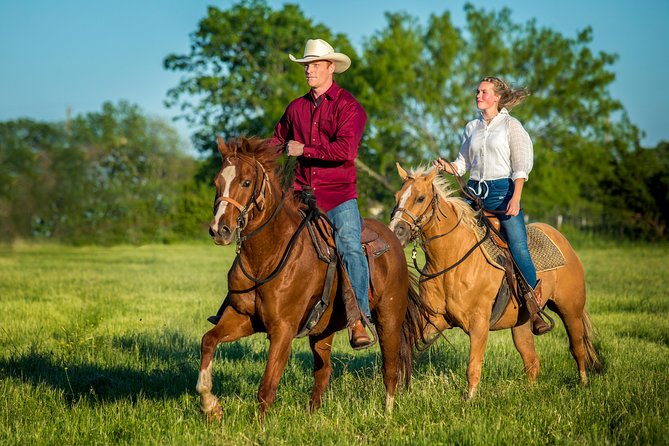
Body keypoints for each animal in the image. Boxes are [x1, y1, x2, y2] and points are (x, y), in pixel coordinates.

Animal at [197, 137, 422, 418]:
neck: (266, 258)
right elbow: (208, 341)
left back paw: (387, 415)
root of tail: (393, 238)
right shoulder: (241, 318)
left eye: (246, 182)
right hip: (323, 330)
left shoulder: (283, 329)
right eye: (217, 181)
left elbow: (267, 388)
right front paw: (210, 405)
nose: (220, 230)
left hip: (389, 319)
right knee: (323, 371)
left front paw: (259, 425)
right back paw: (312, 415)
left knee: (390, 370)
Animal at [386, 165, 600, 400]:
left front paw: (469, 401)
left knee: (578, 348)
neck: (453, 259)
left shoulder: (479, 323)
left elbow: (473, 366)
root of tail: (561, 239)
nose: (396, 231)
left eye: (420, 198)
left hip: (570, 310)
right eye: (396, 196)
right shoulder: (435, 319)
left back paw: (583, 384)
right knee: (532, 361)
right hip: (522, 323)